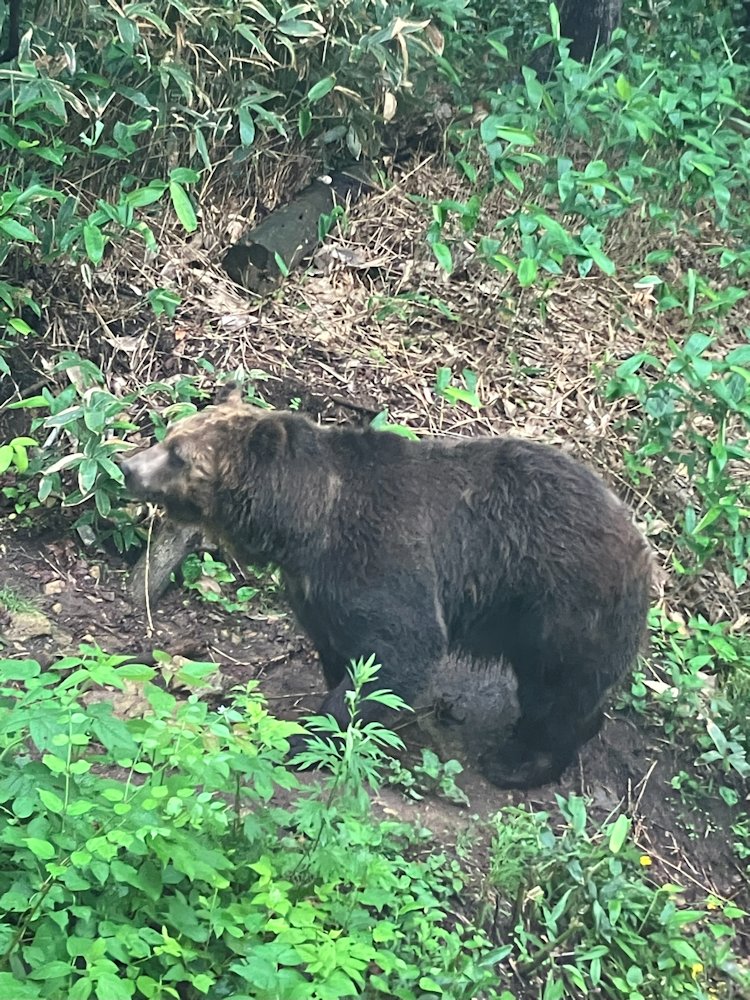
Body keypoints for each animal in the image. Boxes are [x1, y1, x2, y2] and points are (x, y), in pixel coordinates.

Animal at [120, 387, 653, 789]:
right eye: (170, 434)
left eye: (178, 455)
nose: (127, 466)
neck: (306, 524)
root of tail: (637, 533)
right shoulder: (315, 590)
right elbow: (341, 648)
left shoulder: (381, 555)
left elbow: (398, 650)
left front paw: (306, 736)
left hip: (562, 600)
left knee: (559, 689)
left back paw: (519, 763)